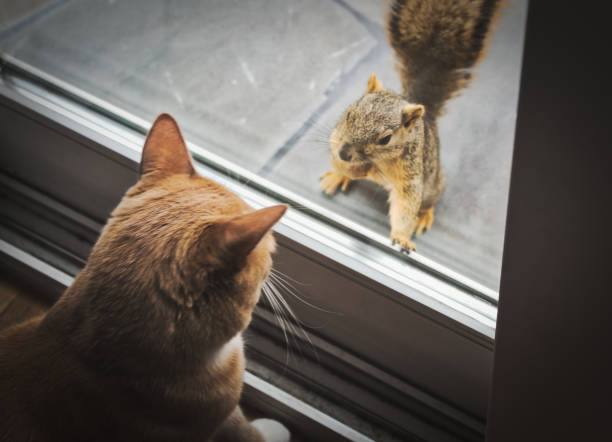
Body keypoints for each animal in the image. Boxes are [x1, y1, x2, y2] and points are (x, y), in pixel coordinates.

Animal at [318, 0, 500, 252]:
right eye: (349, 115)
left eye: (385, 139)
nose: (345, 153)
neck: (379, 161)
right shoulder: (336, 137)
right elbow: (343, 162)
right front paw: (348, 171)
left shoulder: (410, 175)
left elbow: (405, 206)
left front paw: (402, 237)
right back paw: (338, 177)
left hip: (431, 185)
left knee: (429, 200)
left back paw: (423, 215)